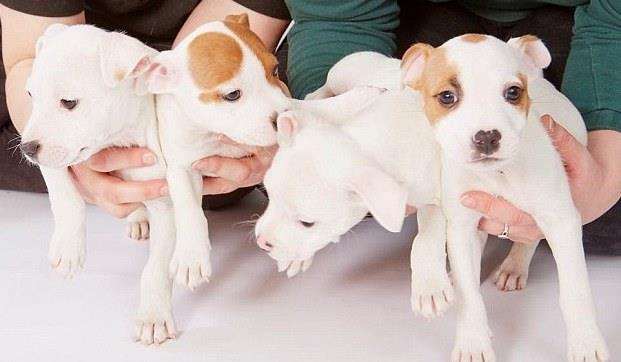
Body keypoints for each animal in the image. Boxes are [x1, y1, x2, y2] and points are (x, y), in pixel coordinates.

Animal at [19, 25, 178, 346]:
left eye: (69, 102)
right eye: (31, 95)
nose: (27, 148)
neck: (120, 139)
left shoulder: (166, 203)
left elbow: (156, 267)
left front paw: (153, 314)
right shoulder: (55, 157)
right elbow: (66, 199)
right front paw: (68, 247)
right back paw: (138, 218)